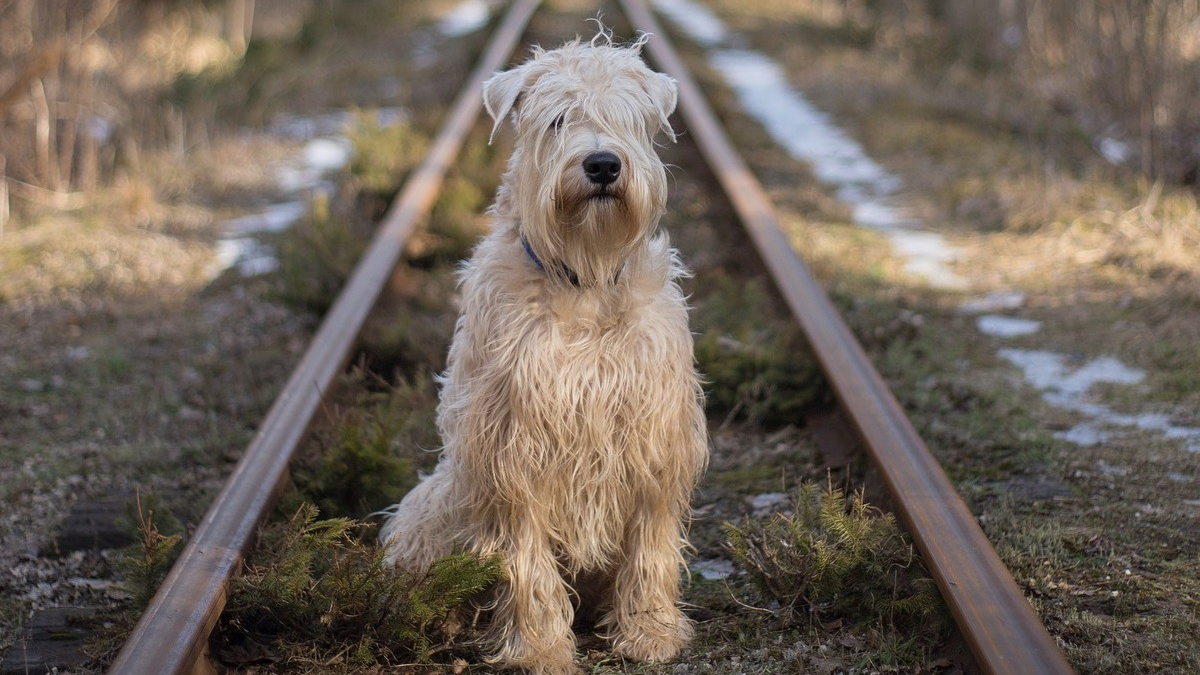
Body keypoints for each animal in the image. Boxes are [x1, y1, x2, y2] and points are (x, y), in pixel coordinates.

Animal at [379, 27, 705, 672]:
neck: (586, 278)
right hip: (437, 502)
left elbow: (650, 546)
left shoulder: (656, 438)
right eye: (557, 119)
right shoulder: (511, 448)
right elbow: (524, 563)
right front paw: (539, 649)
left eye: (627, 117)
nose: (602, 163)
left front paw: (649, 632)